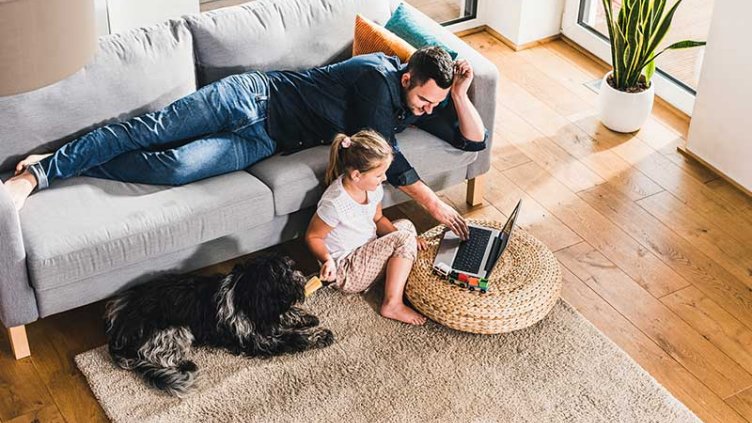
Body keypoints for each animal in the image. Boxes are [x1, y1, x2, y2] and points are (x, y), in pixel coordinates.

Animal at [104, 255, 334, 398]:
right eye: (284, 273)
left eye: (290, 268)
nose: (299, 274)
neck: (244, 295)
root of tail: (118, 329)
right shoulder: (260, 340)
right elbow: (295, 337)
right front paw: (321, 335)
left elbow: (285, 315)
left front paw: (307, 318)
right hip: (173, 331)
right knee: (153, 356)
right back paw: (183, 364)